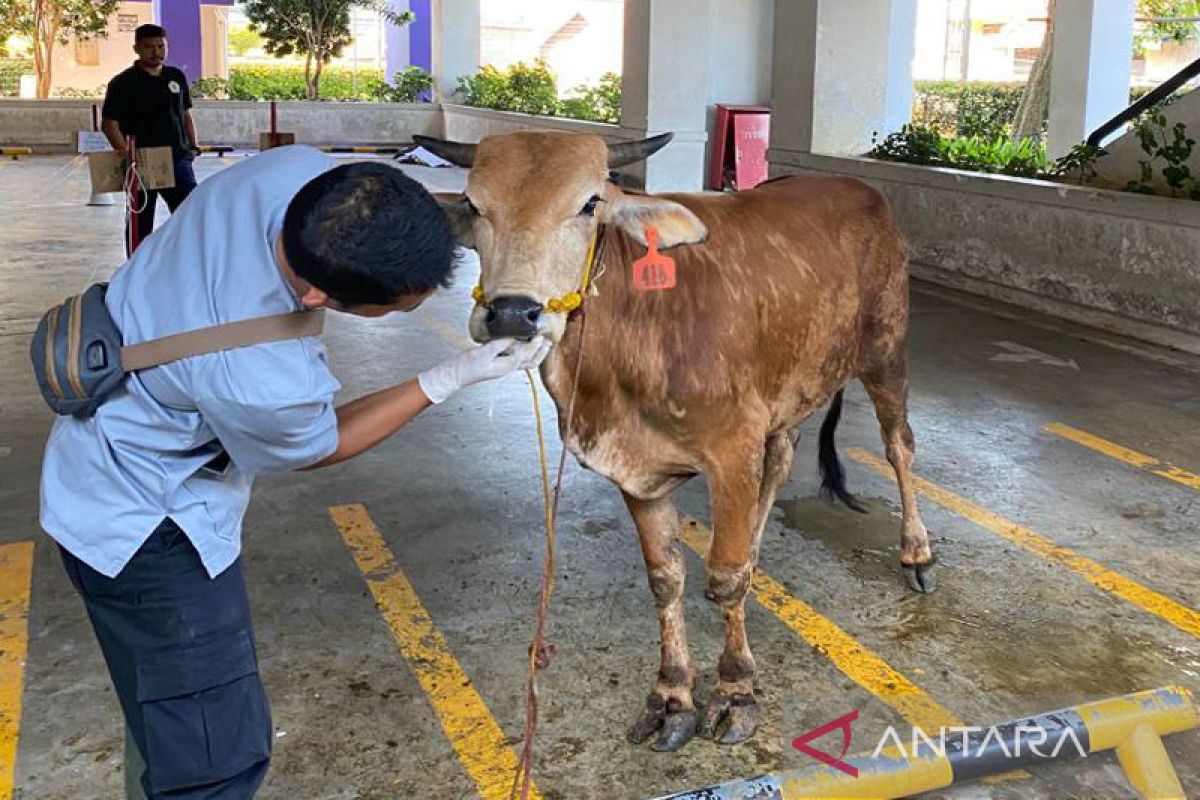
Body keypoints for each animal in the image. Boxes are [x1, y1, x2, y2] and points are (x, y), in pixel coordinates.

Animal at [417, 131, 931, 753]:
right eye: (474, 204)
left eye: (589, 203)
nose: (513, 313)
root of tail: (858, 187)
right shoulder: (639, 471)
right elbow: (666, 580)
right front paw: (672, 696)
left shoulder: (732, 450)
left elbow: (724, 578)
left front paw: (735, 692)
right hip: (792, 385)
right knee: (782, 458)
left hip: (886, 351)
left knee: (898, 444)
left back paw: (916, 551)